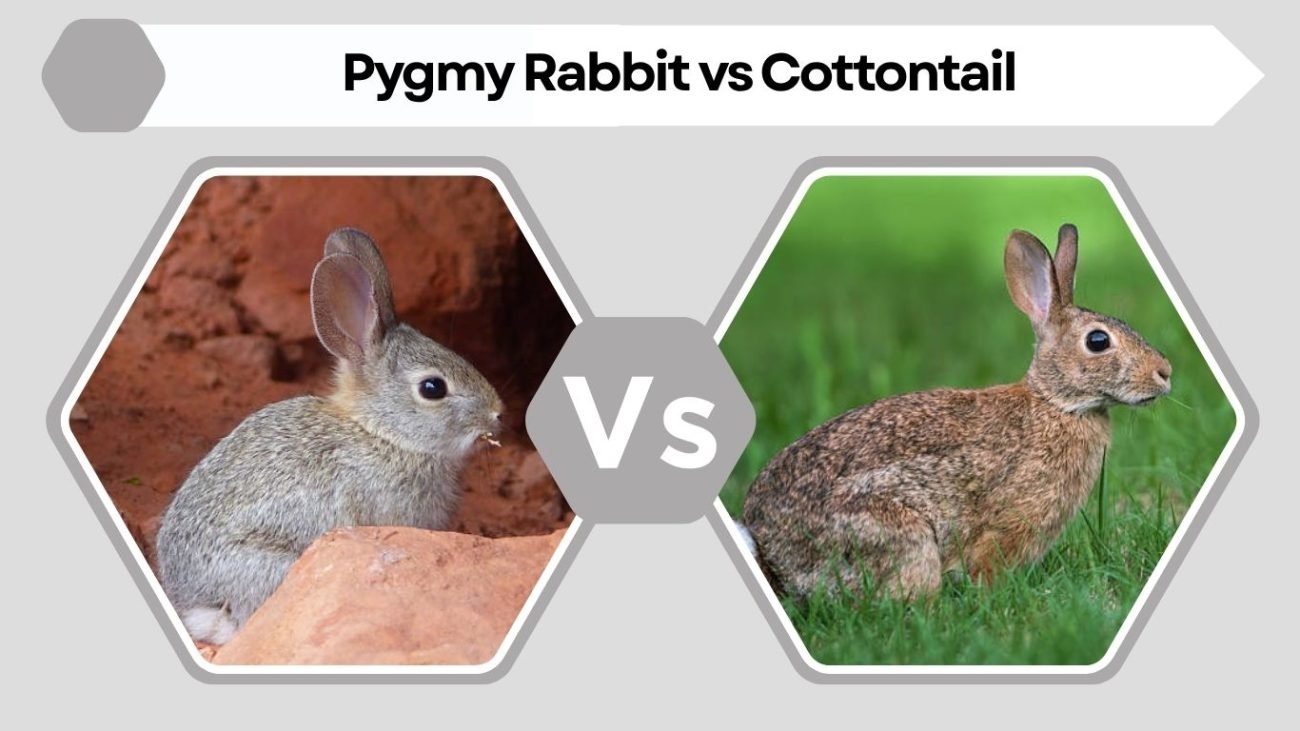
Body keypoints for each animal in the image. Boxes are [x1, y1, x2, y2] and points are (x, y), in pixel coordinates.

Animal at [739, 224, 1172, 600]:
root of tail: (775, 555)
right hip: (900, 535)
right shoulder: (1005, 524)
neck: (1055, 403)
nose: (1165, 372)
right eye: (1098, 341)